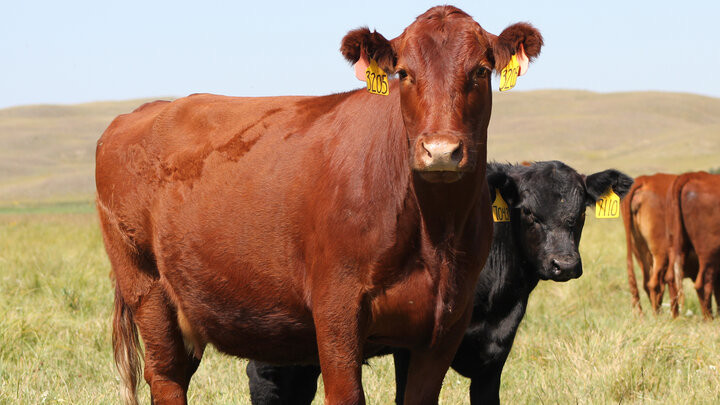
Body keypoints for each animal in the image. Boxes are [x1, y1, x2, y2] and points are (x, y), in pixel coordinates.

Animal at [95, 6, 544, 405]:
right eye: (404, 73)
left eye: (480, 71)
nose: (440, 151)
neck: (434, 232)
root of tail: (141, 112)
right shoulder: (336, 309)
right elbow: (345, 394)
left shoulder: (445, 322)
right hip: (146, 287)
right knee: (167, 376)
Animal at [666, 171, 720, 319]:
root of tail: (691, 175)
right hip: (709, 252)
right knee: (703, 283)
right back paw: (709, 318)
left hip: (676, 246)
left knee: (671, 278)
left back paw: (676, 317)